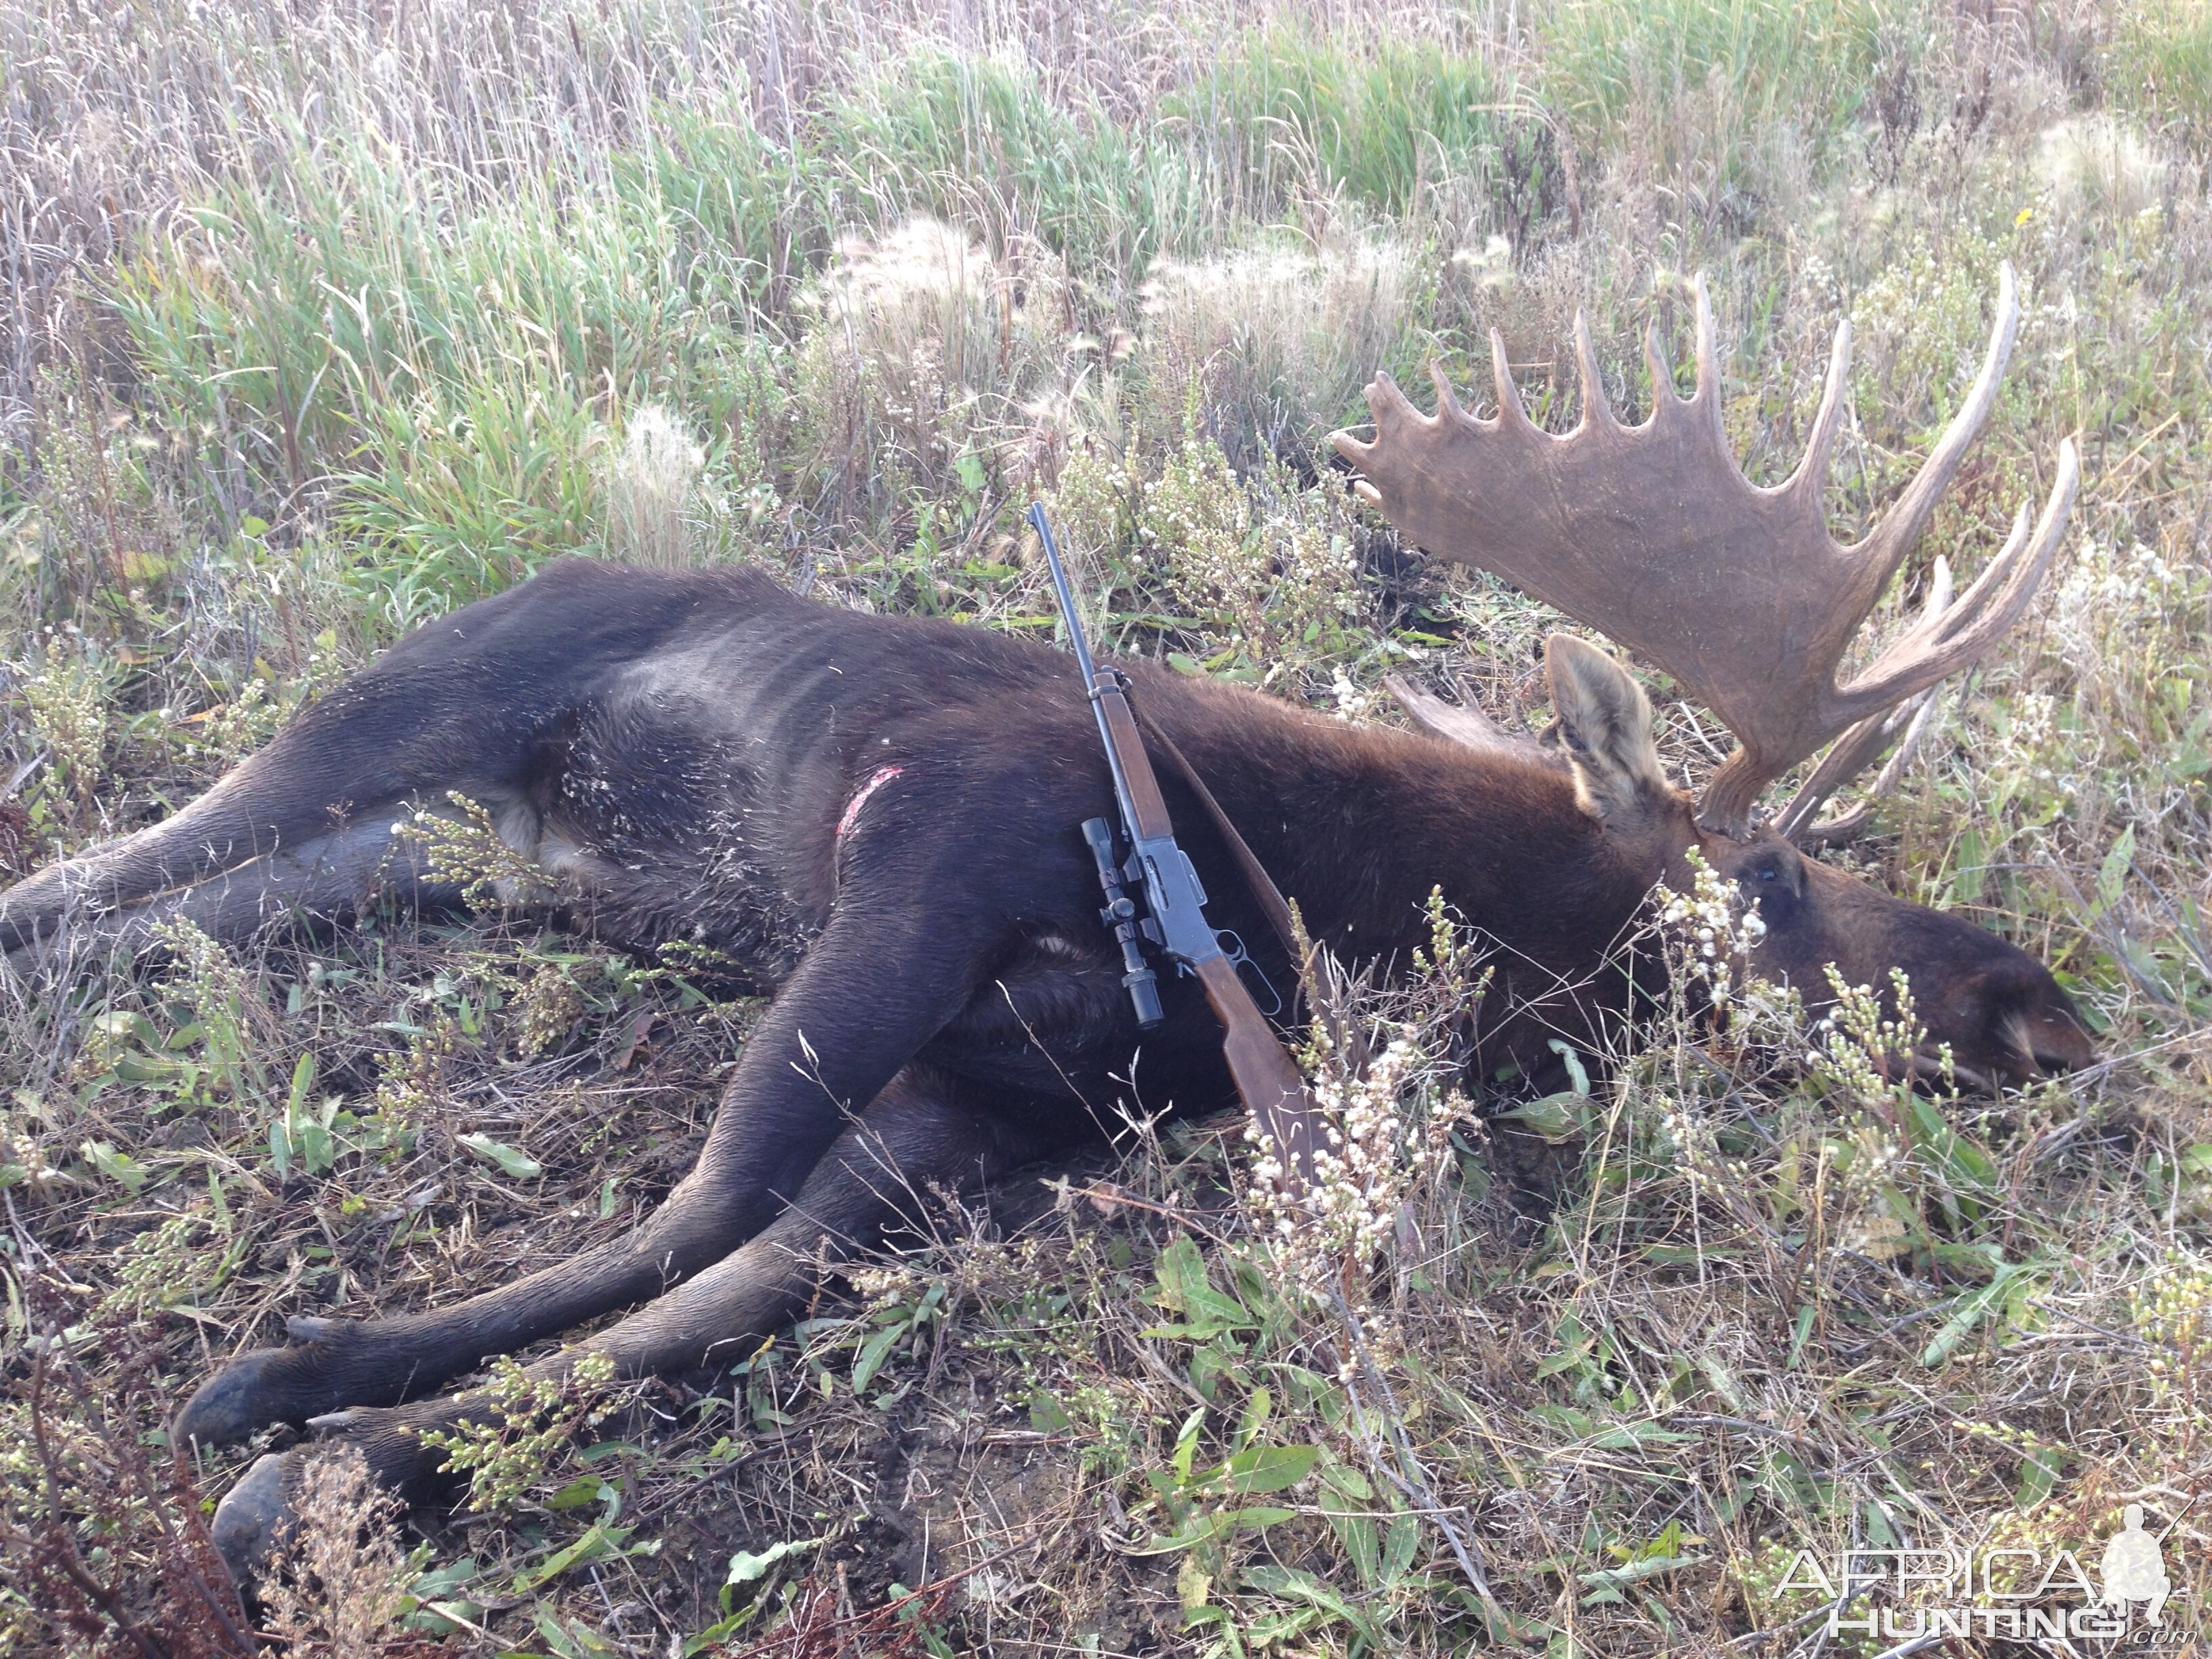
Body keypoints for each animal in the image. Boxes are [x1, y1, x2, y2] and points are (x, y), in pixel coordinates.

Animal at [0, 270, 2088, 1574]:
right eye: (1777, 882)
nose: (2039, 1002)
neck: (1305, 895)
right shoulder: (926, 849)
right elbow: (703, 1203)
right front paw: (297, 1406)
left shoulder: (988, 1111)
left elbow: (731, 1288)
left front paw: (349, 1450)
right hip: (417, 699)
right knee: (102, 869)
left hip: (474, 851)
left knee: (206, 909)